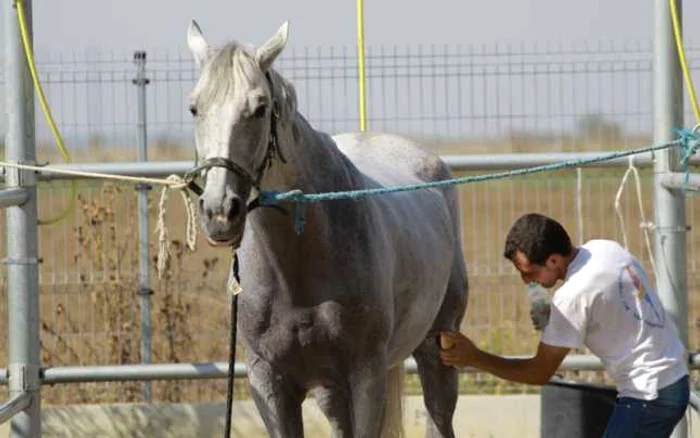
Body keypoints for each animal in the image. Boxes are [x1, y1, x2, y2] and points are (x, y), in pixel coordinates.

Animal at [186, 18, 470, 436]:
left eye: (260, 108)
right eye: (195, 107)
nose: (220, 211)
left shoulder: (366, 376)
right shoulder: (268, 384)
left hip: (437, 346)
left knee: (439, 412)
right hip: (331, 390)